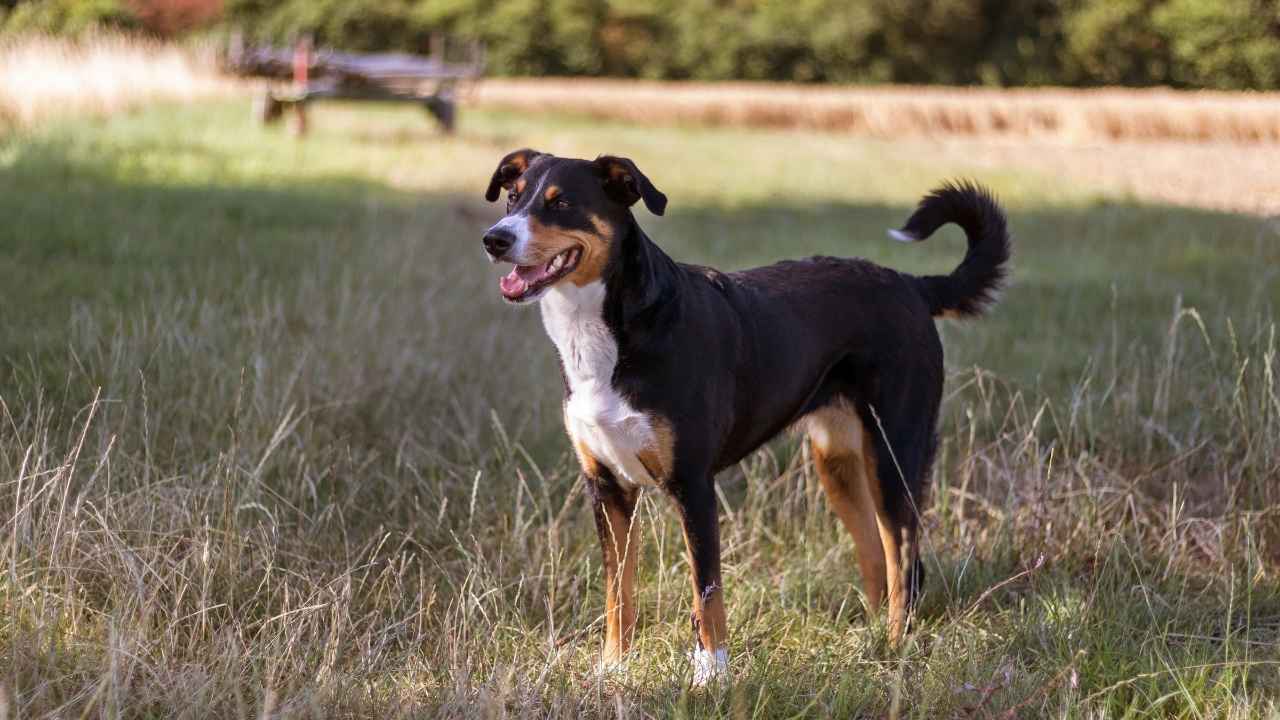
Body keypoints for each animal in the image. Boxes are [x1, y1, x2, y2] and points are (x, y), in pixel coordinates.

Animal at [478, 148, 1008, 681]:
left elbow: (706, 595)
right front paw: (614, 670)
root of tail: (911, 286)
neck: (608, 332)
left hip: (894, 454)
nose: (495, 239)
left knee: (905, 560)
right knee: (878, 556)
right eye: (512, 197)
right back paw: (871, 642)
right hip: (838, 463)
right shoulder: (607, 487)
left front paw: (711, 677)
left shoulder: (693, 485)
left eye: (561, 202)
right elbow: (617, 593)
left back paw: (896, 649)